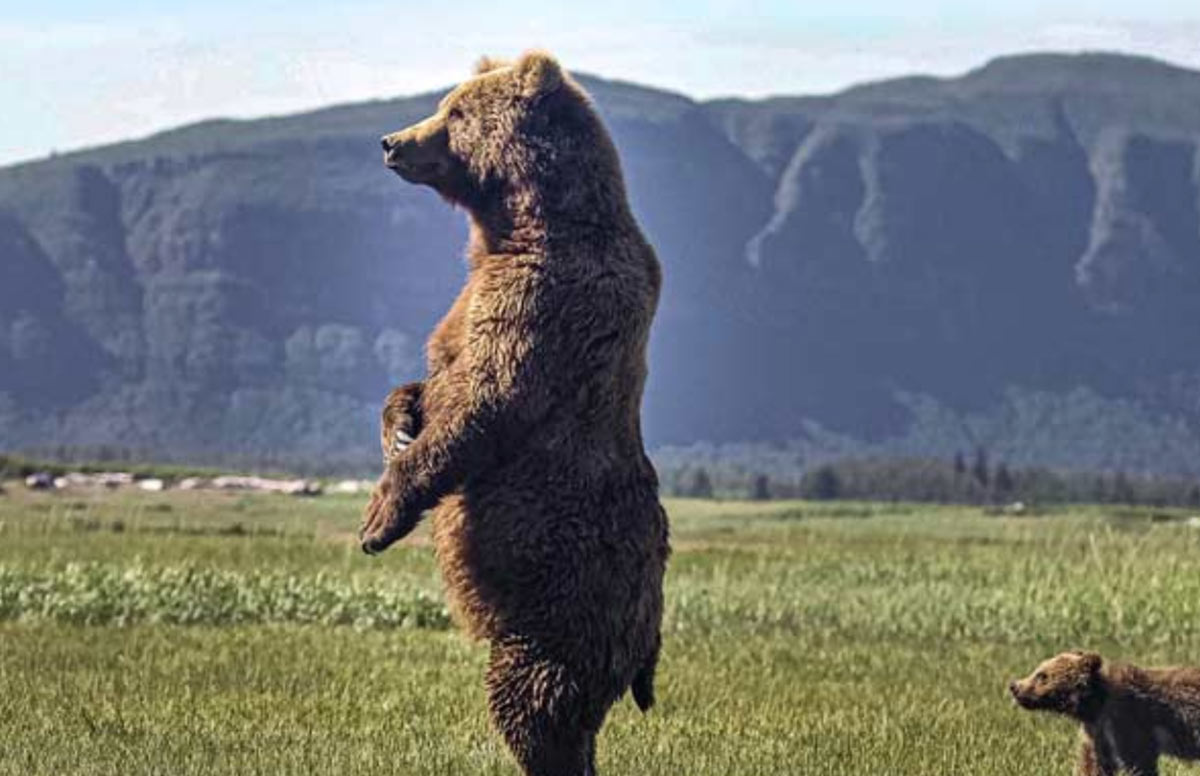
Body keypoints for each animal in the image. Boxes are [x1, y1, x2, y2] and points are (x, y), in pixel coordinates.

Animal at [362, 51, 670, 776]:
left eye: (454, 112)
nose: (391, 142)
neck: (523, 220)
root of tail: (651, 627)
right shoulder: (473, 293)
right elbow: (433, 375)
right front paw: (398, 425)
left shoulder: (547, 296)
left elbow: (489, 397)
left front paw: (378, 519)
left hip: (564, 601)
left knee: (536, 702)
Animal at [1010, 650, 1200, 775]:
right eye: (1038, 669)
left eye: (1042, 675)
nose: (1014, 686)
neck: (1095, 704)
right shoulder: (1096, 732)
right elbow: (1093, 764)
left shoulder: (1127, 720)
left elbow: (1138, 761)